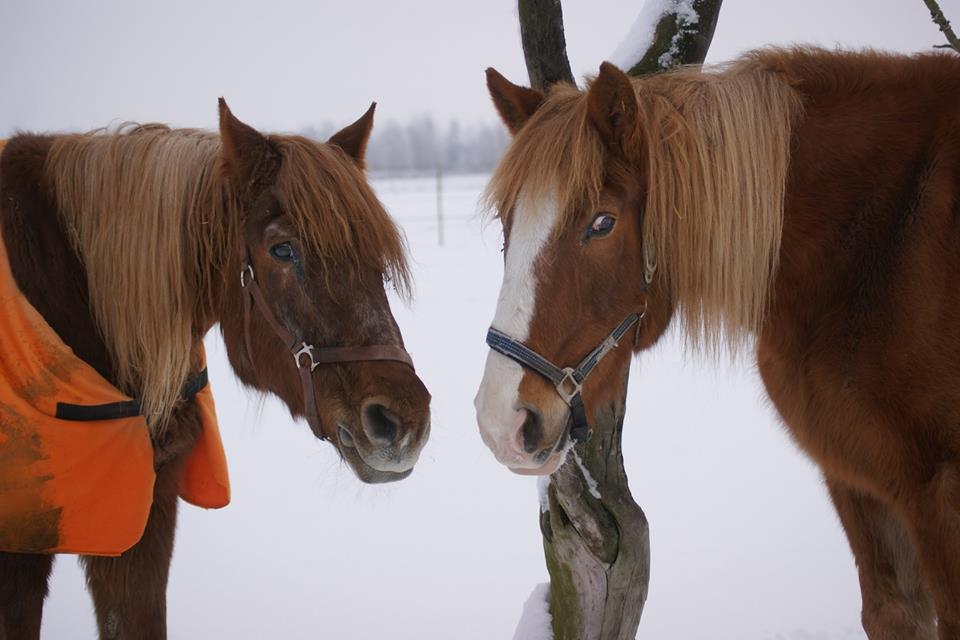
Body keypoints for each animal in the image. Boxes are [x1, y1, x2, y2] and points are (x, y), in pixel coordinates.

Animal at [480, 50, 960, 640]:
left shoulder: (940, 495)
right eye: (507, 220)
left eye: (602, 223)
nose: (501, 421)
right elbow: (892, 613)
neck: (877, 240)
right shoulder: (859, 482)